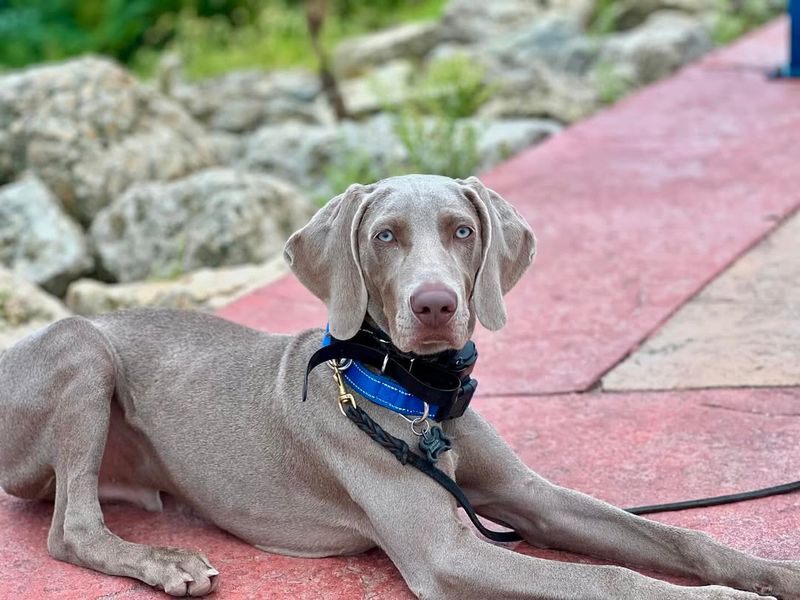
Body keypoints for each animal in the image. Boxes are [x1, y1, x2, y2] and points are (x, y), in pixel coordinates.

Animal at [1, 175, 800, 600]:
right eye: (384, 235)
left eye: (461, 230)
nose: (436, 306)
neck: (420, 396)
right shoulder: (446, 554)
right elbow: (610, 579)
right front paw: (723, 599)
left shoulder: (533, 500)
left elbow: (676, 535)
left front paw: (773, 572)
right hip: (80, 349)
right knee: (71, 528)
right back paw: (168, 564)